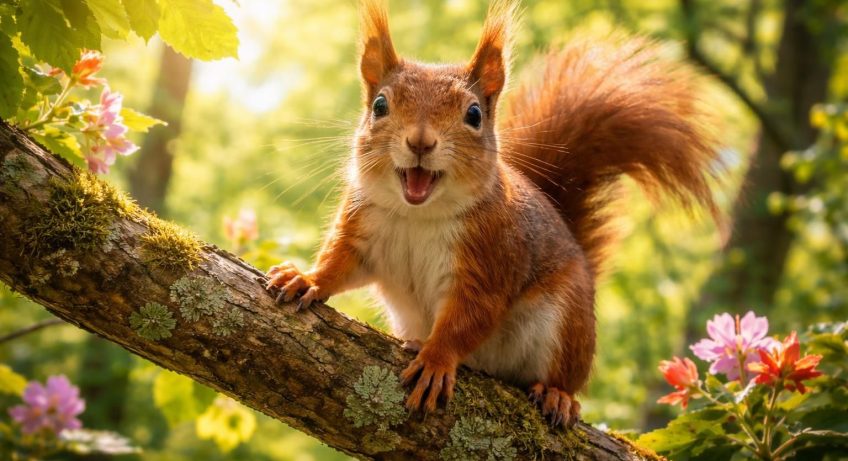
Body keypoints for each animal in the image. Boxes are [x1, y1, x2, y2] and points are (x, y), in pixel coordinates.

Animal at [264, 0, 721, 429]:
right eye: (379, 105)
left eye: (474, 115)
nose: (420, 141)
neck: (418, 215)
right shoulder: (360, 226)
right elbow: (339, 264)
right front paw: (306, 278)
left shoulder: (490, 257)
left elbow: (468, 318)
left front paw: (436, 358)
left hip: (568, 321)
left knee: (564, 373)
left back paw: (557, 395)